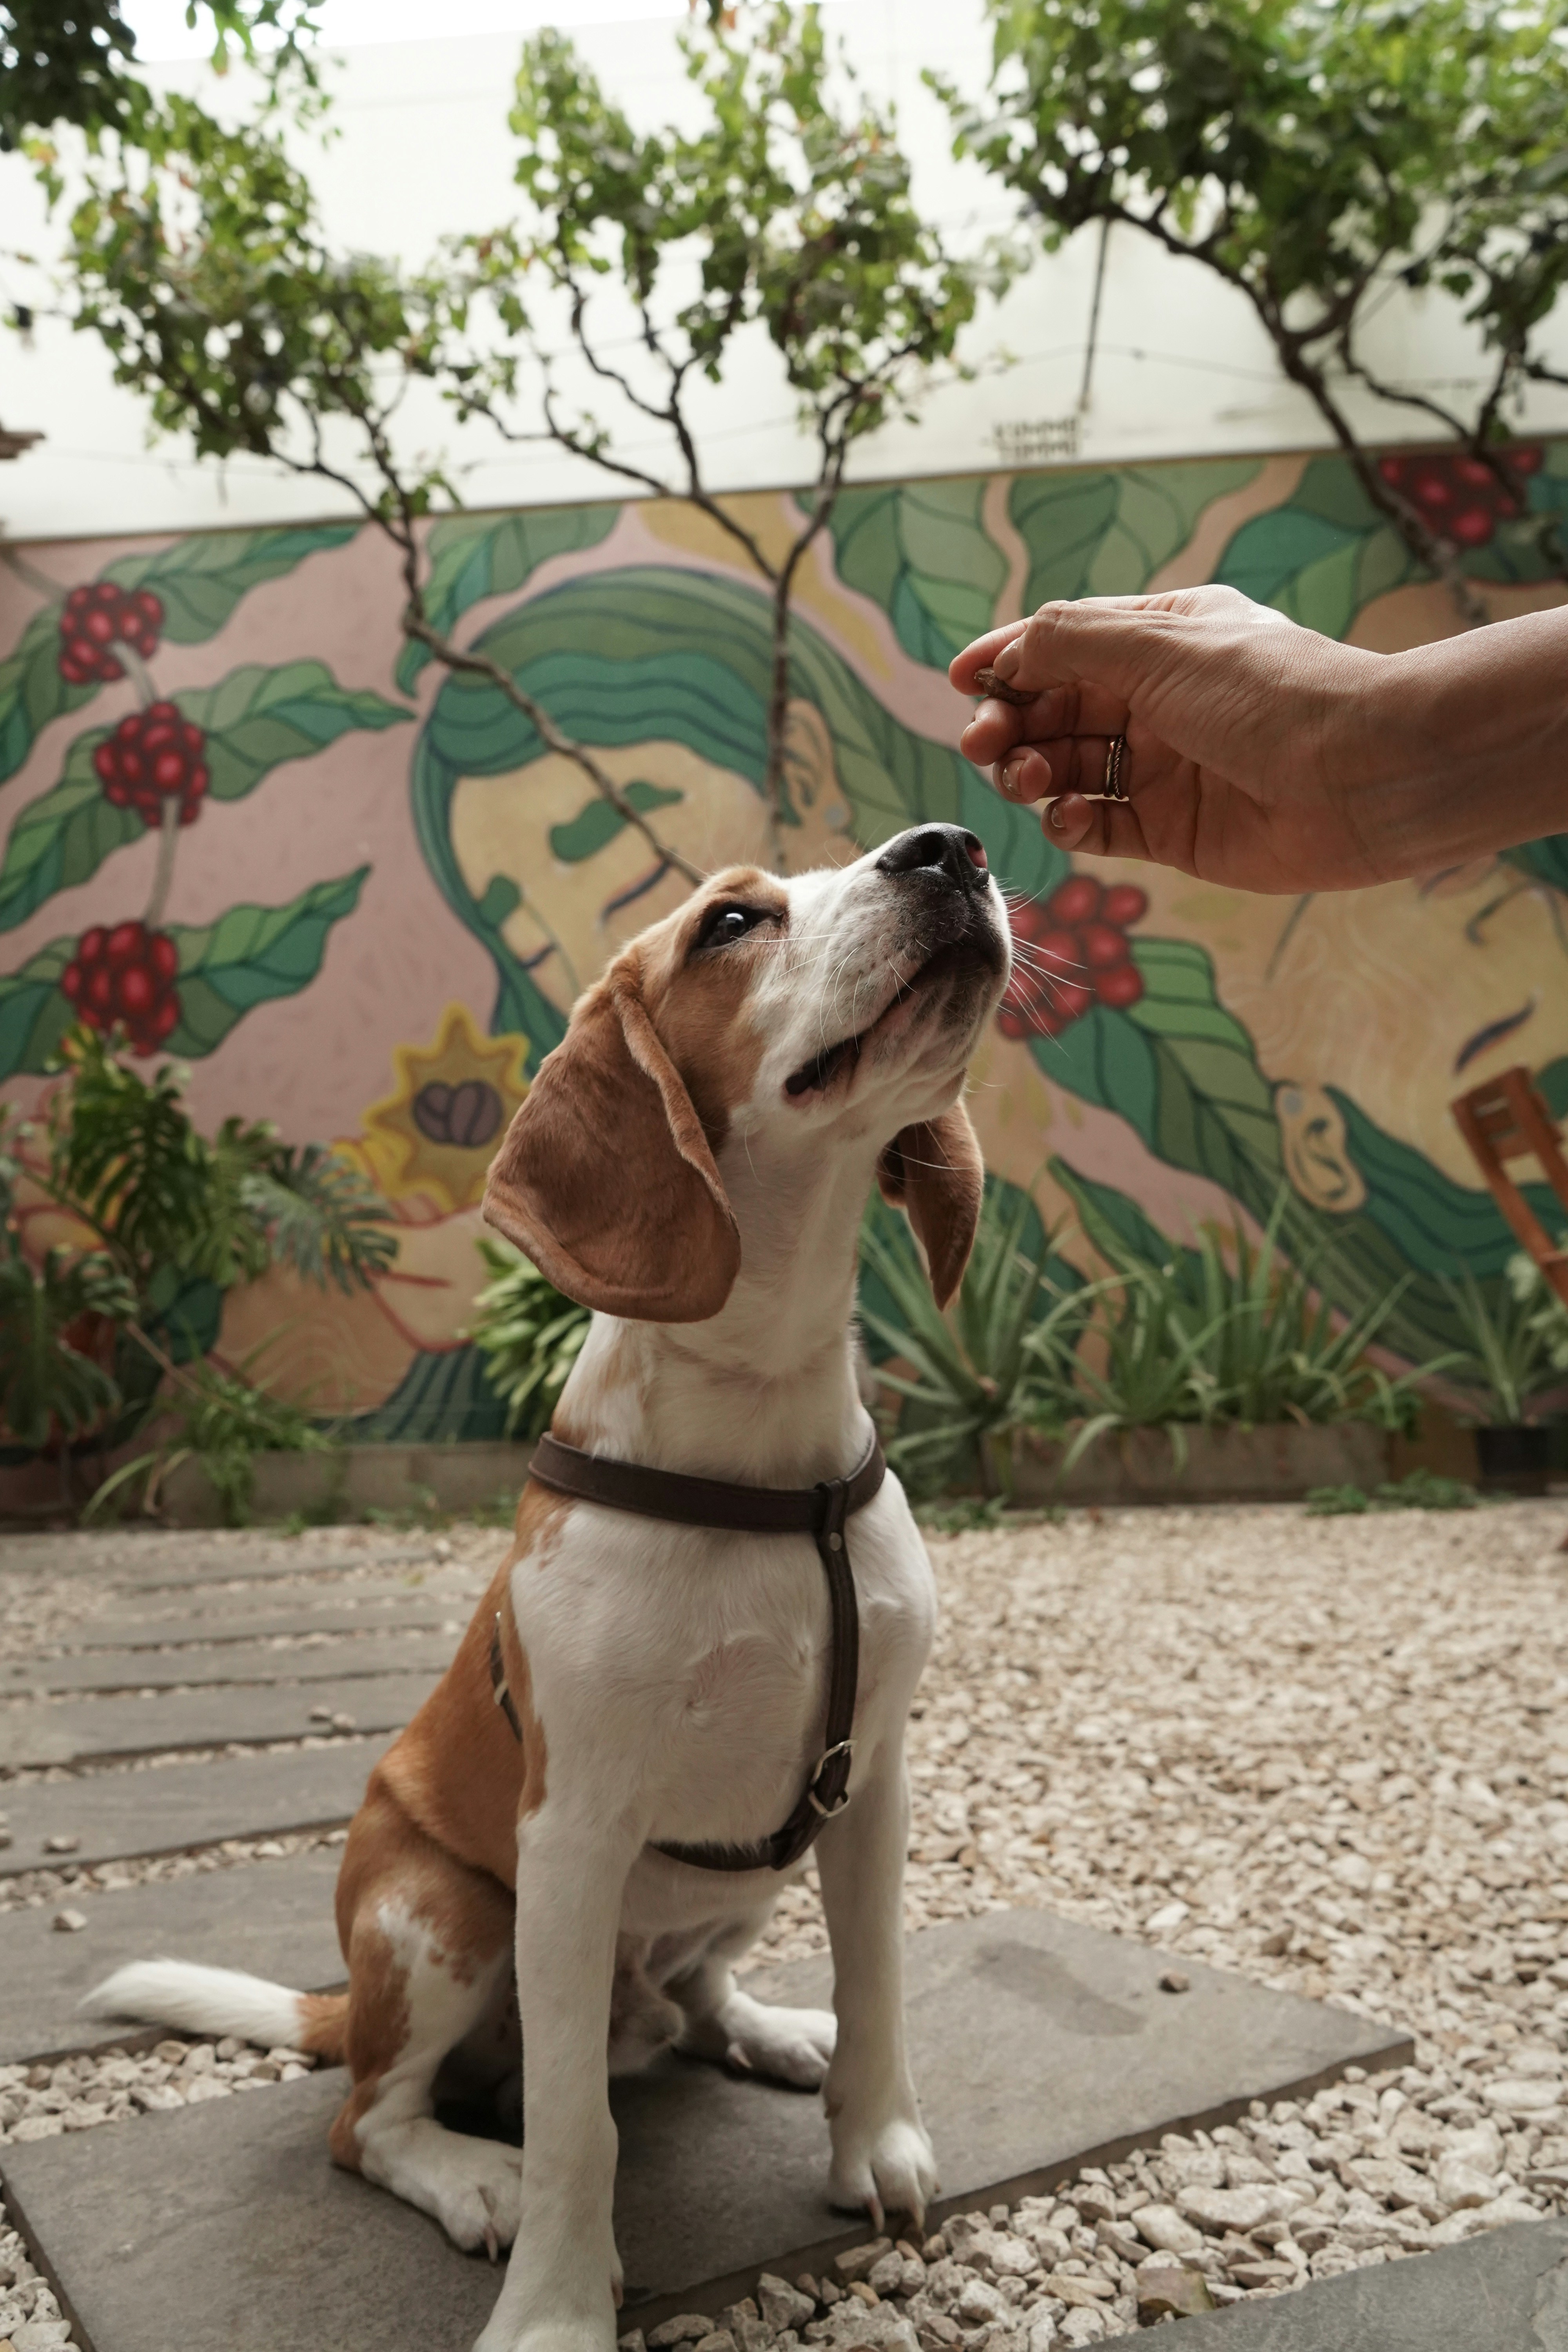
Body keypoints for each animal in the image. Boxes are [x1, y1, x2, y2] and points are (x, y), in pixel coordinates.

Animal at [87, 822, 1010, 2352]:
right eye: (731, 924)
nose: (952, 849)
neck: (756, 1413)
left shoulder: (871, 1781)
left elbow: (876, 1983)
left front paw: (871, 2136)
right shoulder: (570, 1840)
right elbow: (582, 2126)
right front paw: (559, 2309)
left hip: (739, 1887)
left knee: (691, 2005)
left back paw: (768, 2031)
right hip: (450, 1919)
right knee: (370, 2119)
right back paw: (478, 2176)